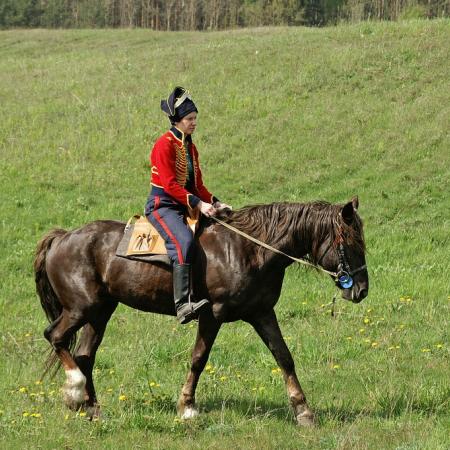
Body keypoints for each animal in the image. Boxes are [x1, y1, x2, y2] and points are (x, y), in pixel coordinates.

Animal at [33, 196, 368, 426]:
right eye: (350, 243)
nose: (362, 290)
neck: (249, 250)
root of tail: (62, 237)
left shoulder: (262, 313)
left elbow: (284, 357)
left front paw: (304, 412)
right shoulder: (211, 315)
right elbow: (199, 359)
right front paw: (187, 407)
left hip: (100, 312)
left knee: (85, 355)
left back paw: (92, 408)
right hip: (80, 309)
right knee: (55, 337)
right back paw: (74, 392)